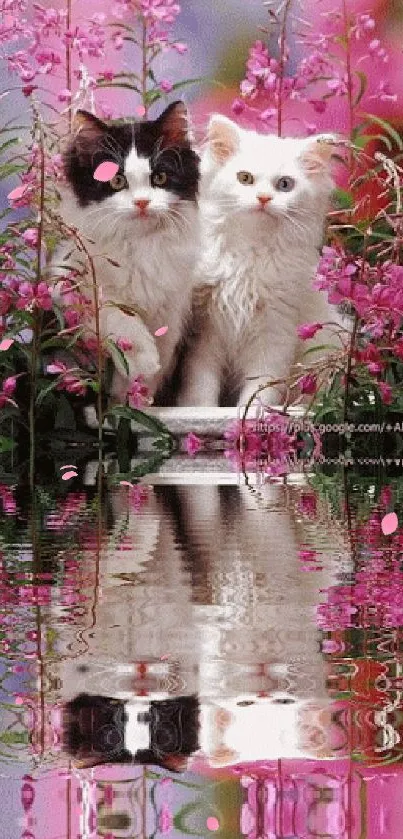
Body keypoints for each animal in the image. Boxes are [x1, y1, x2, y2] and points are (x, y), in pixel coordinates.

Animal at [180, 117, 340, 406]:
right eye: (245, 178)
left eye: (285, 185)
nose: (264, 198)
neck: (250, 255)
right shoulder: (206, 333)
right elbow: (202, 385)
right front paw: (200, 410)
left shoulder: (276, 331)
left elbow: (261, 387)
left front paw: (252, 414)